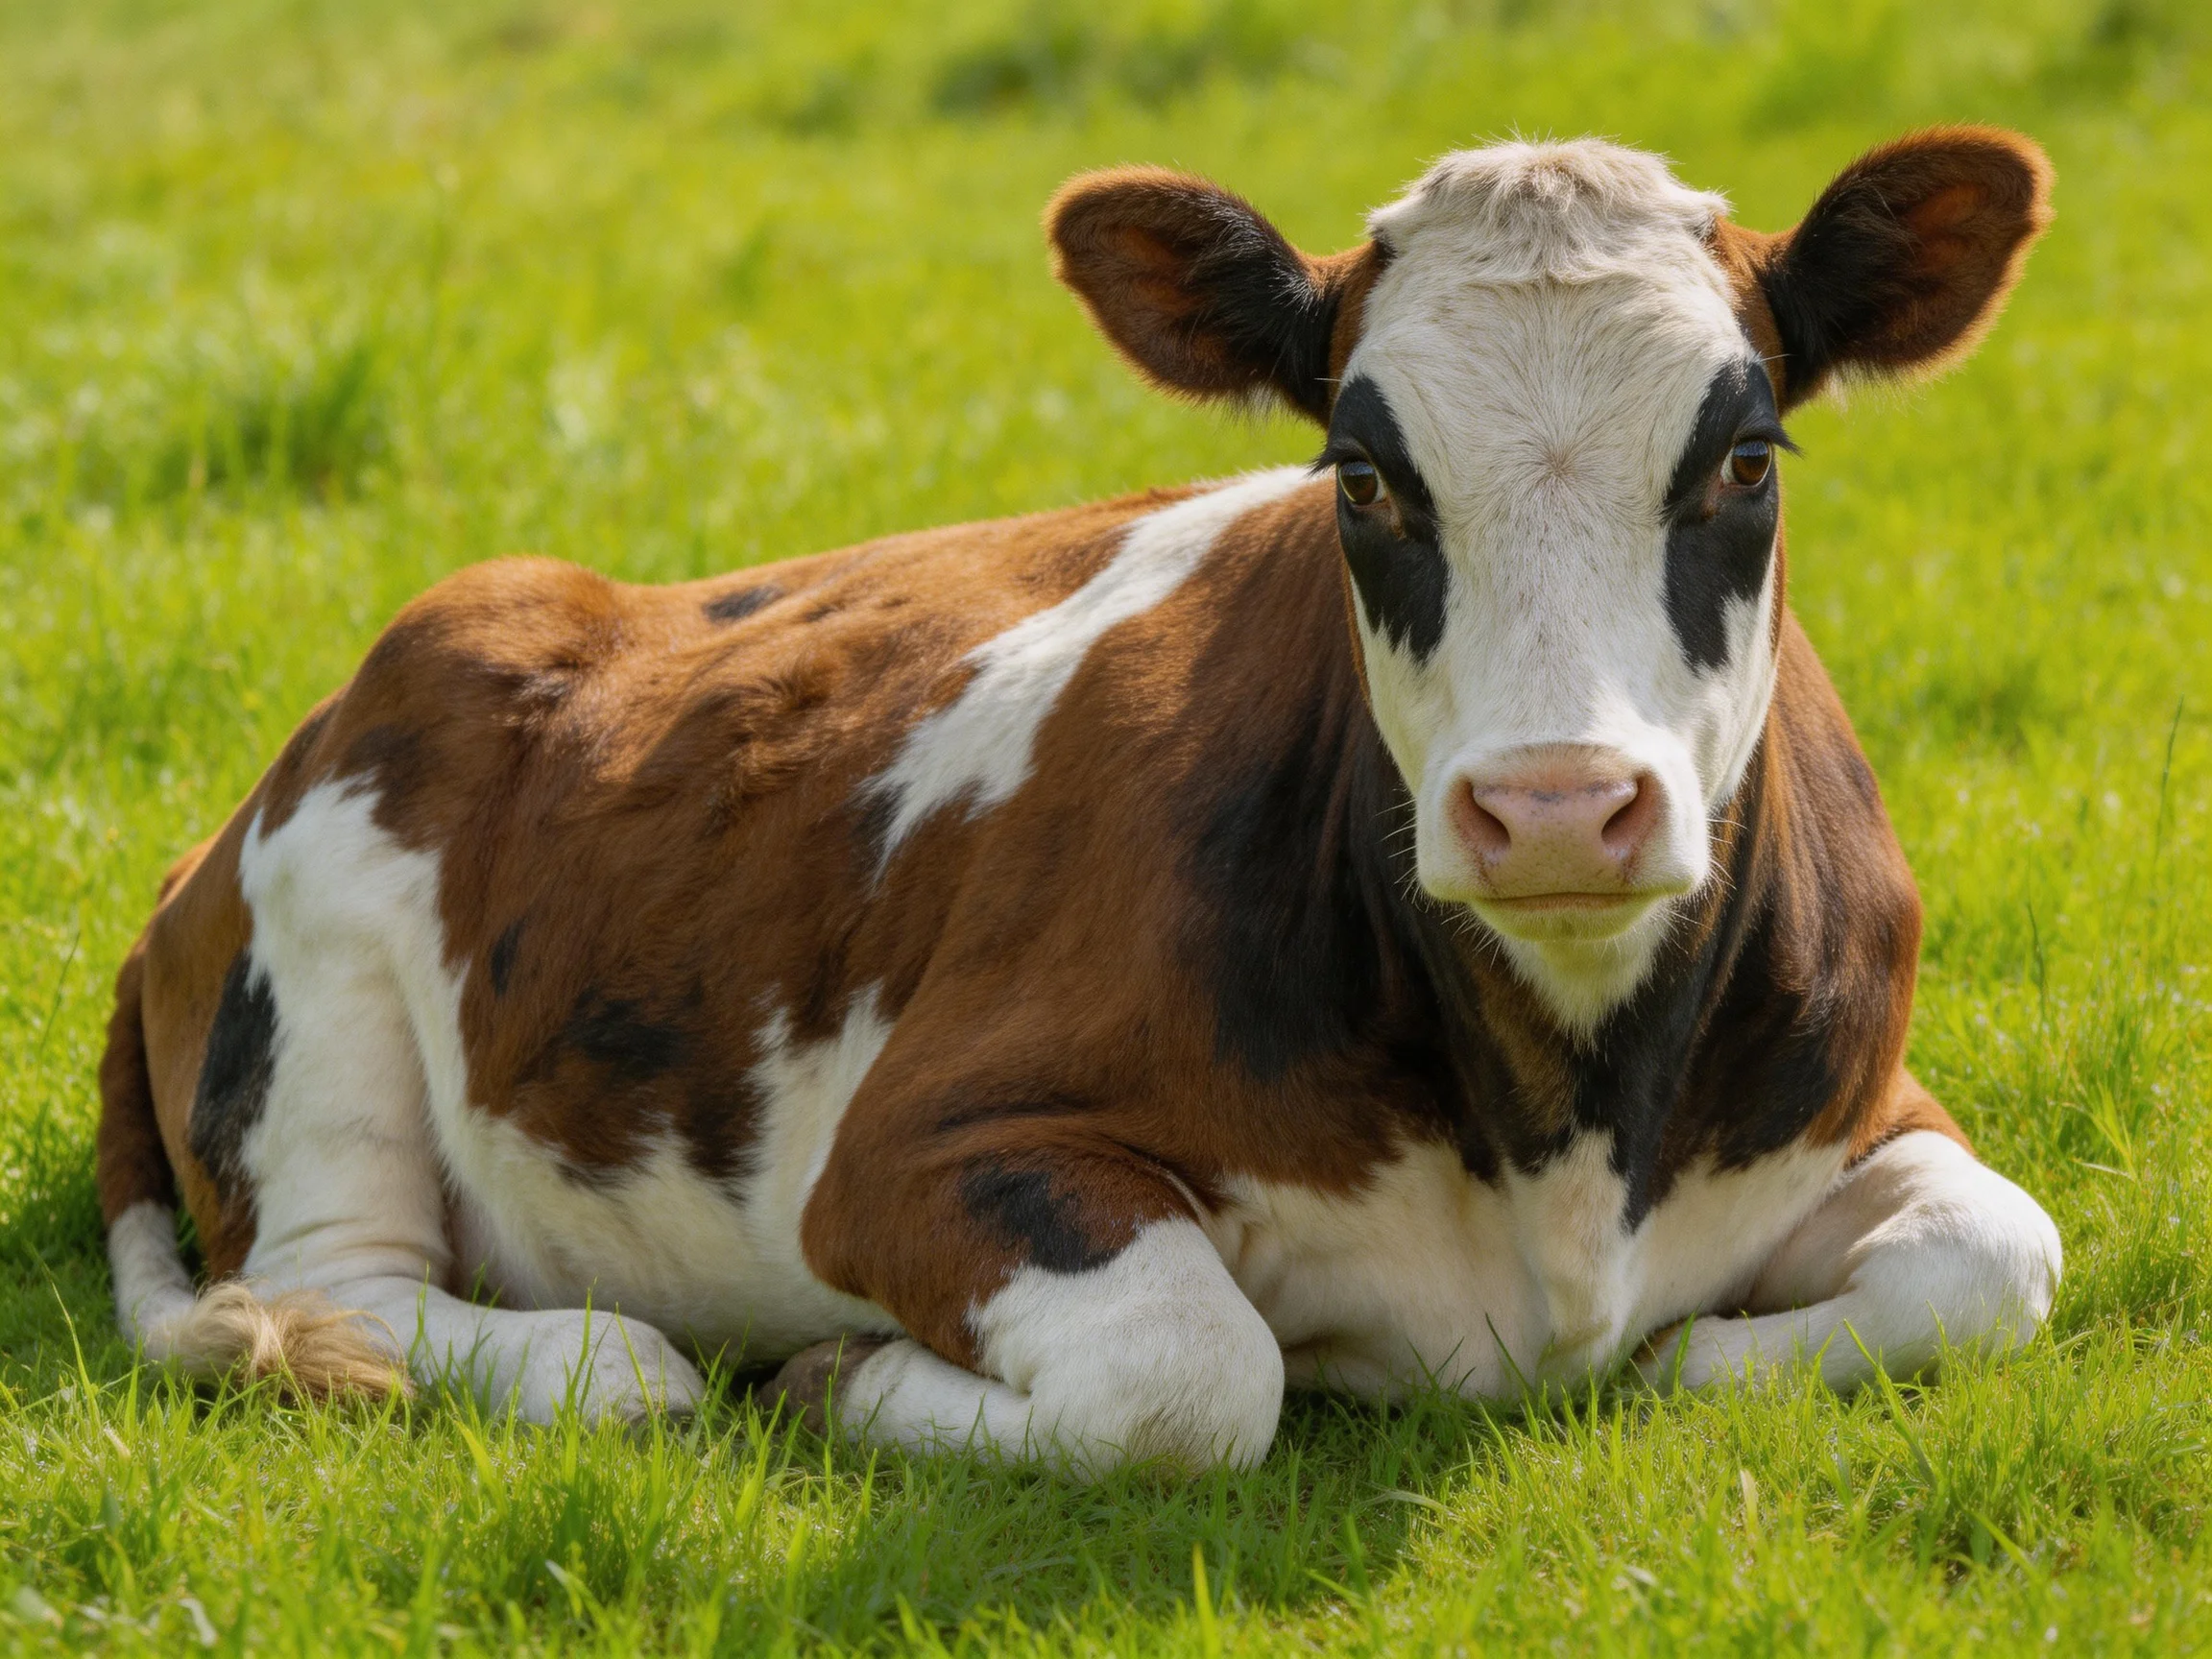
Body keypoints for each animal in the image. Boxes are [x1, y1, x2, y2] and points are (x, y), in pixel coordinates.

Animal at [99, 127, 2062, 1476]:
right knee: (339, 1287)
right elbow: (1190, 1374)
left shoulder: (1861, 1103)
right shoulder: (907, 1155)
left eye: (1743, 458)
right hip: (326, 980)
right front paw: (843, 1378)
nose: (1560, 808)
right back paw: (616, 1360)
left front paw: (1679, 1361)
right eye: (1361, 473)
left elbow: (1993, 1255)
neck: (1563, 1126)